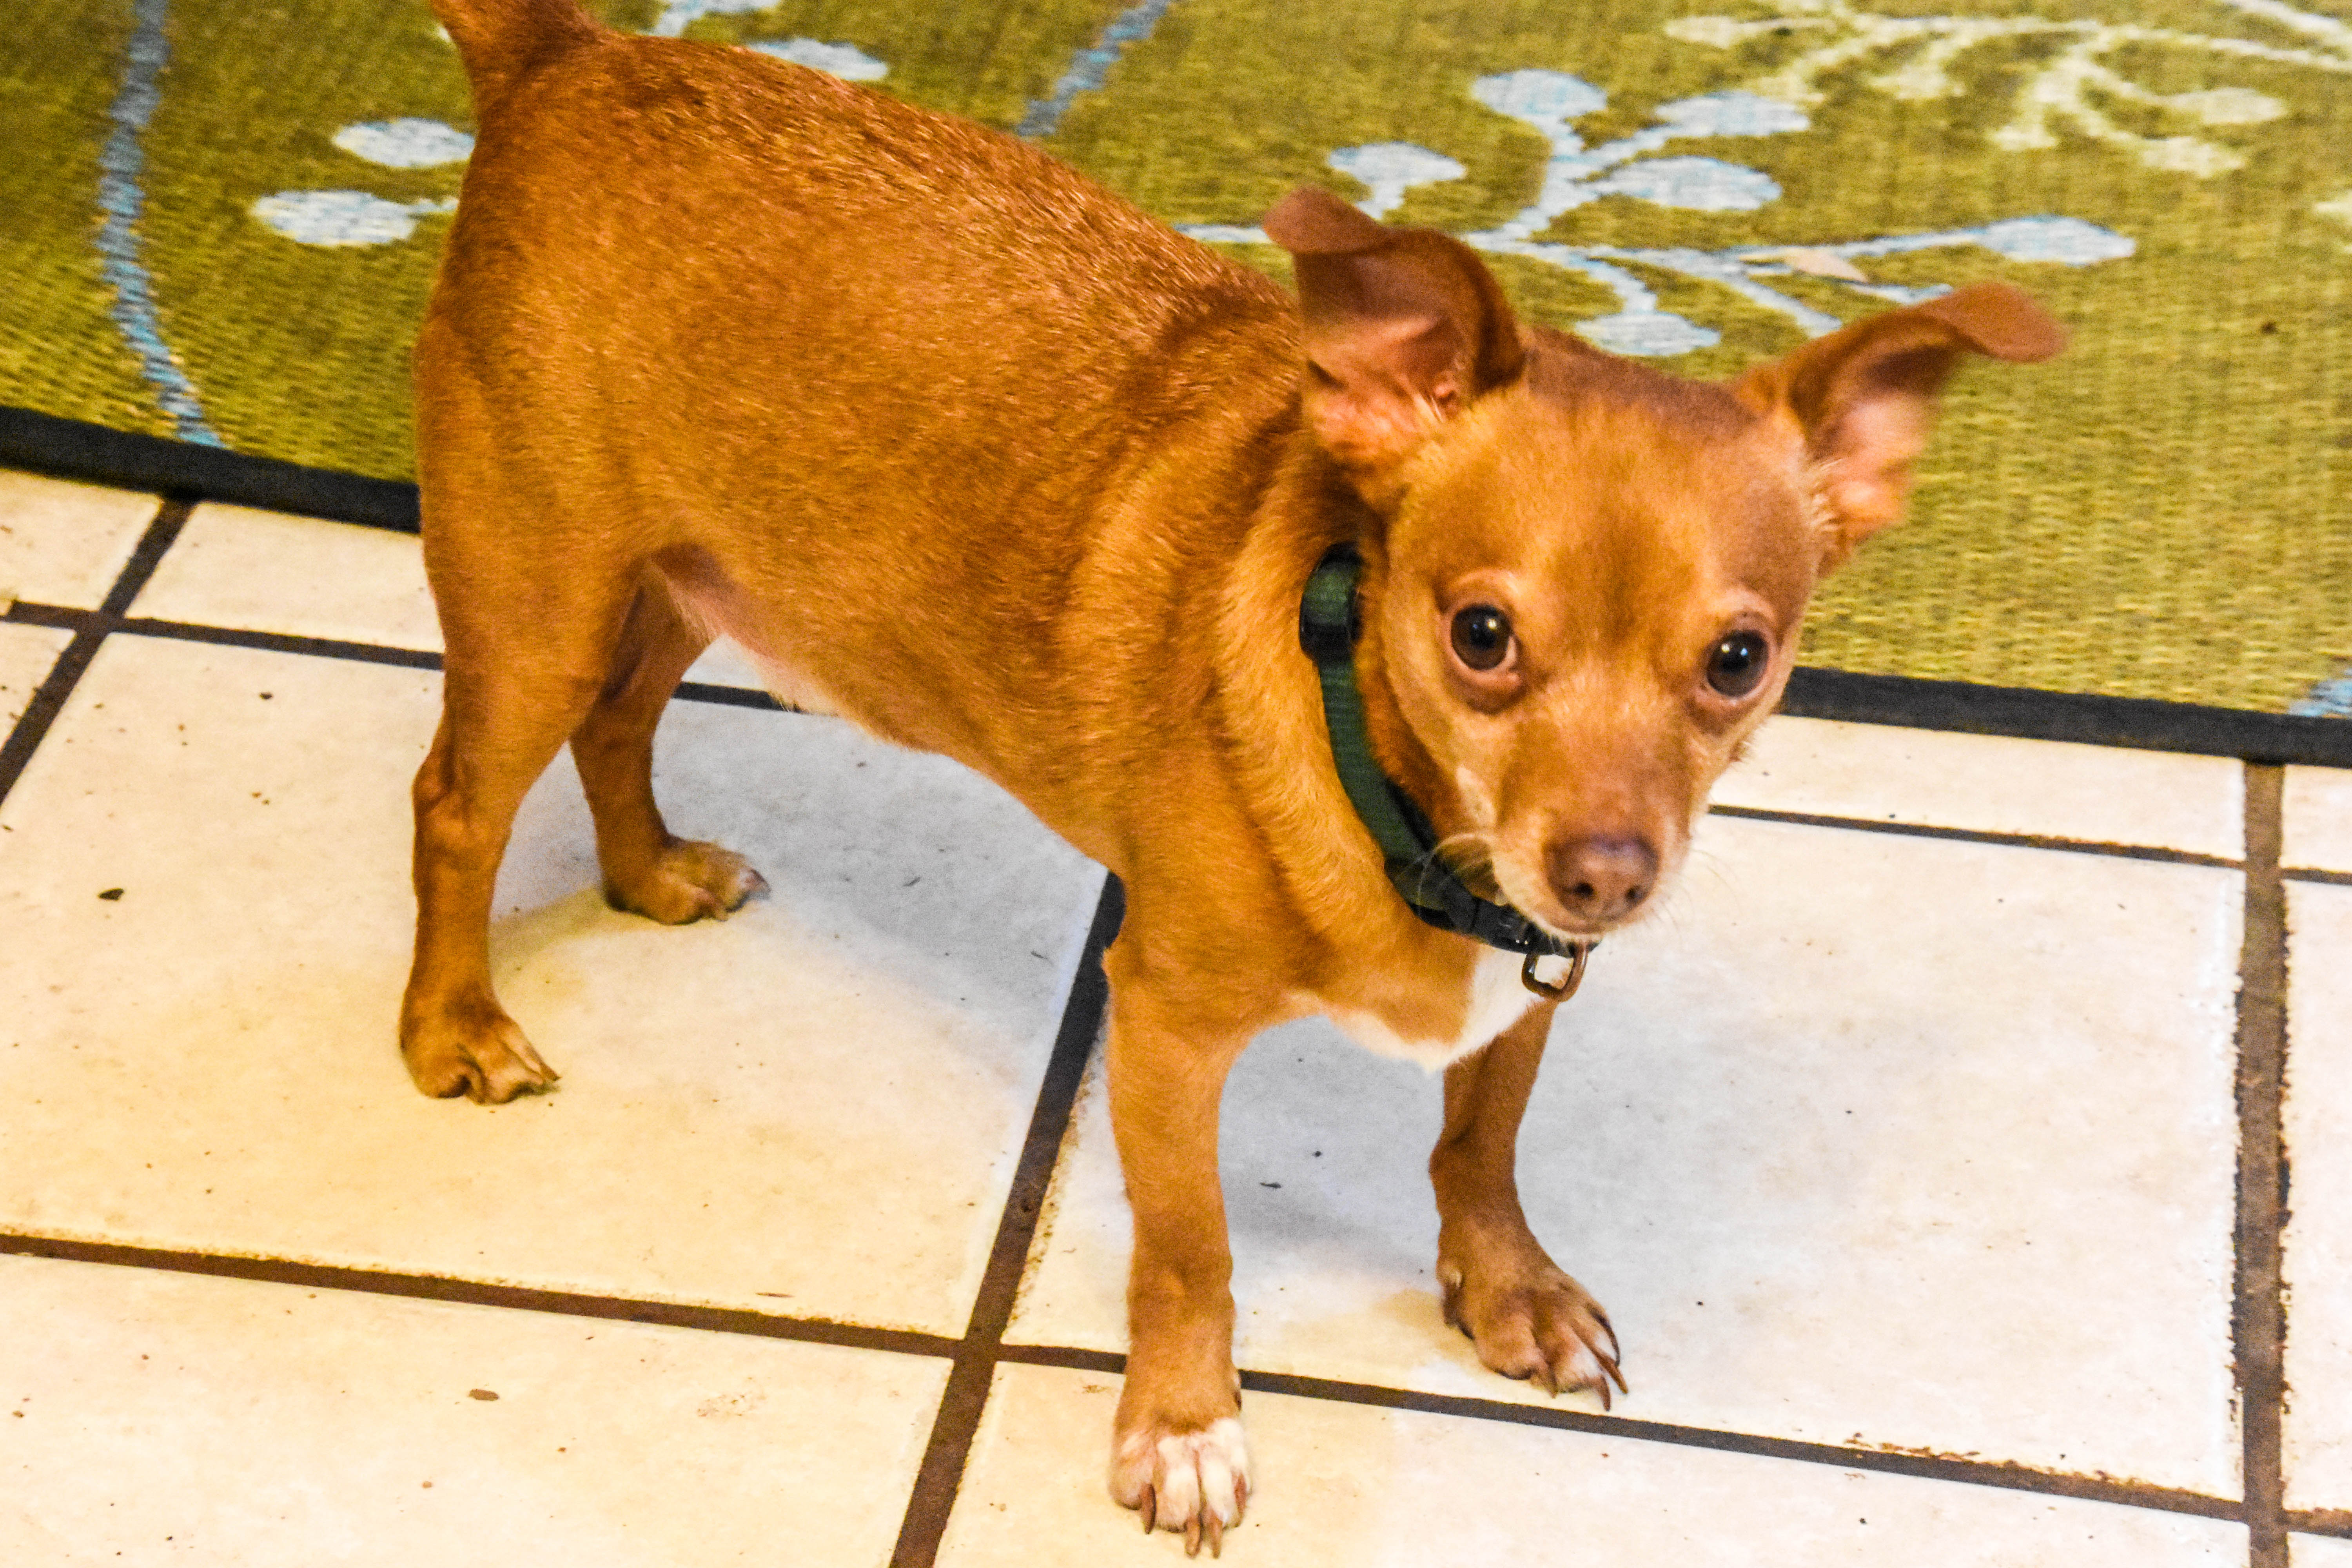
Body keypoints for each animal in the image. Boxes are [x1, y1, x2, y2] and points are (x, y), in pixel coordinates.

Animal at [404, 1, 2062, 1551]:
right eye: (1480, 635)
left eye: (1739, 658)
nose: (1604, 875)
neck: (1397, 801)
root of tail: (575, 59)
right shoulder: (1164, 1029)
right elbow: (1191, 1248)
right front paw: (1187, 1426)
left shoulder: (1525, 994)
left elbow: (1481, 1142)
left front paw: (1507, 1286)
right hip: (540, 605)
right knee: (458, 807)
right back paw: (454, 1028)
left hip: (690, 582)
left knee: (619, 724)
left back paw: (647, 874)